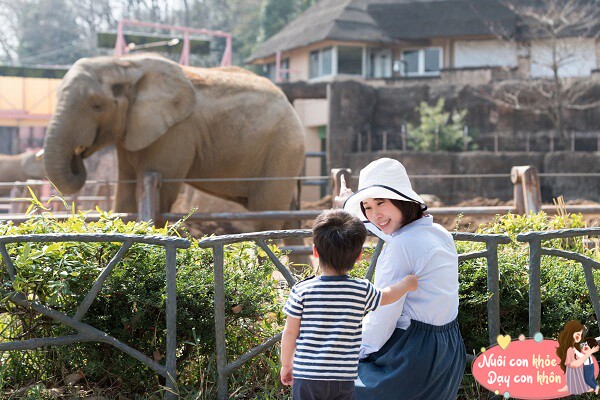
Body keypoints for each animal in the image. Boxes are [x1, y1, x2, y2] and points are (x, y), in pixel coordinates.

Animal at [41, 53, 304, 230]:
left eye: (97, 106)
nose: (78, 154)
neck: (125, 65)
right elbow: (124, 196)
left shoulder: (175, 134)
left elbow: (161, 197)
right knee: (289, 214)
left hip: (282, 151)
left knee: (265, 216)